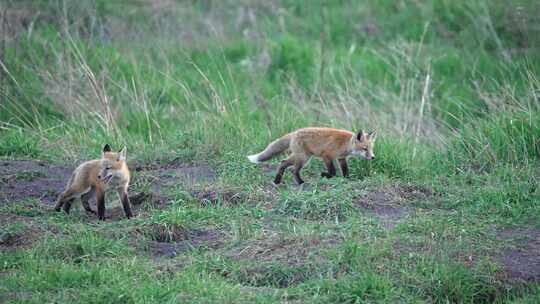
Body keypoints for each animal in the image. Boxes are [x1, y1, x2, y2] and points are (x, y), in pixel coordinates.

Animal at [248, 127, 376, 184]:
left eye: (371, 149)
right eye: (365, 149)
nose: (373, 157)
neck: (345, 143)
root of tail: (294, 132)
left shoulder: (341, 158)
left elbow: (345, 170)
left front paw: (347, 179)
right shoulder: (327, 156)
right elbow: (333, 171)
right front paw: (325, 175)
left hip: (302, 158)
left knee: (286, 165)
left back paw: (280, 181)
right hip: (302, 158)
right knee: (290, 167)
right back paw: (297, 182)